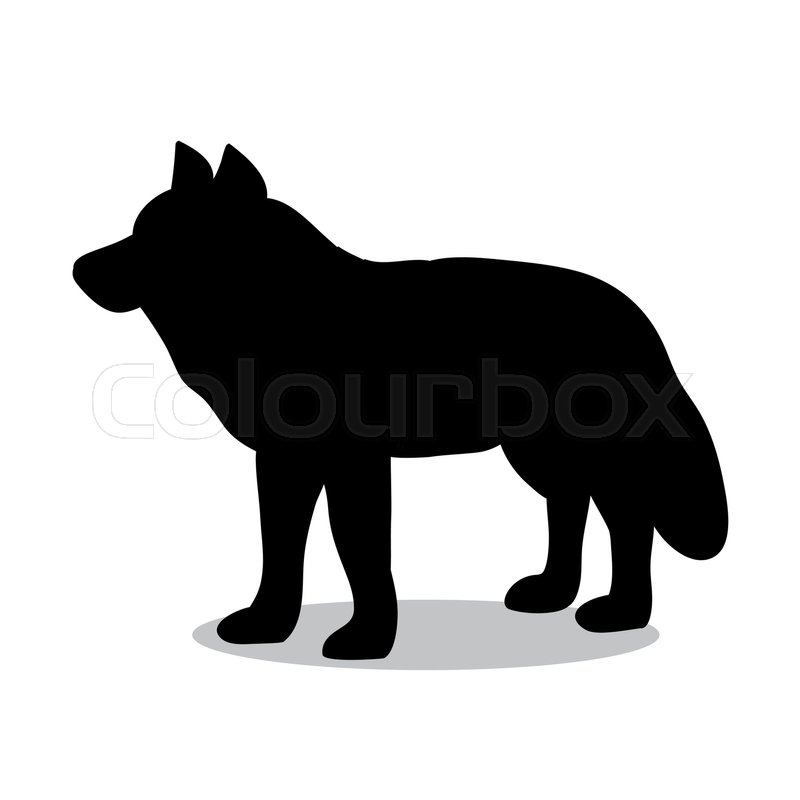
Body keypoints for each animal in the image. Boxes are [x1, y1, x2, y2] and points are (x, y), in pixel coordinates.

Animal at [74, 142, 727, 659]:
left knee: (628, 518)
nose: (79, 268)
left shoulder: (354, 464)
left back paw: (620, 613)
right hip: (537, 453)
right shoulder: (283, 466)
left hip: (594, 452)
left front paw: (366, 640)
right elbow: (280, 547)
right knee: (571, 505)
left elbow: (361, 548)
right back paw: (551, 593)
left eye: (162, 237)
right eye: (138, 227)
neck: (278, 303)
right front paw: (268, 625)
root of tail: (633, 313)